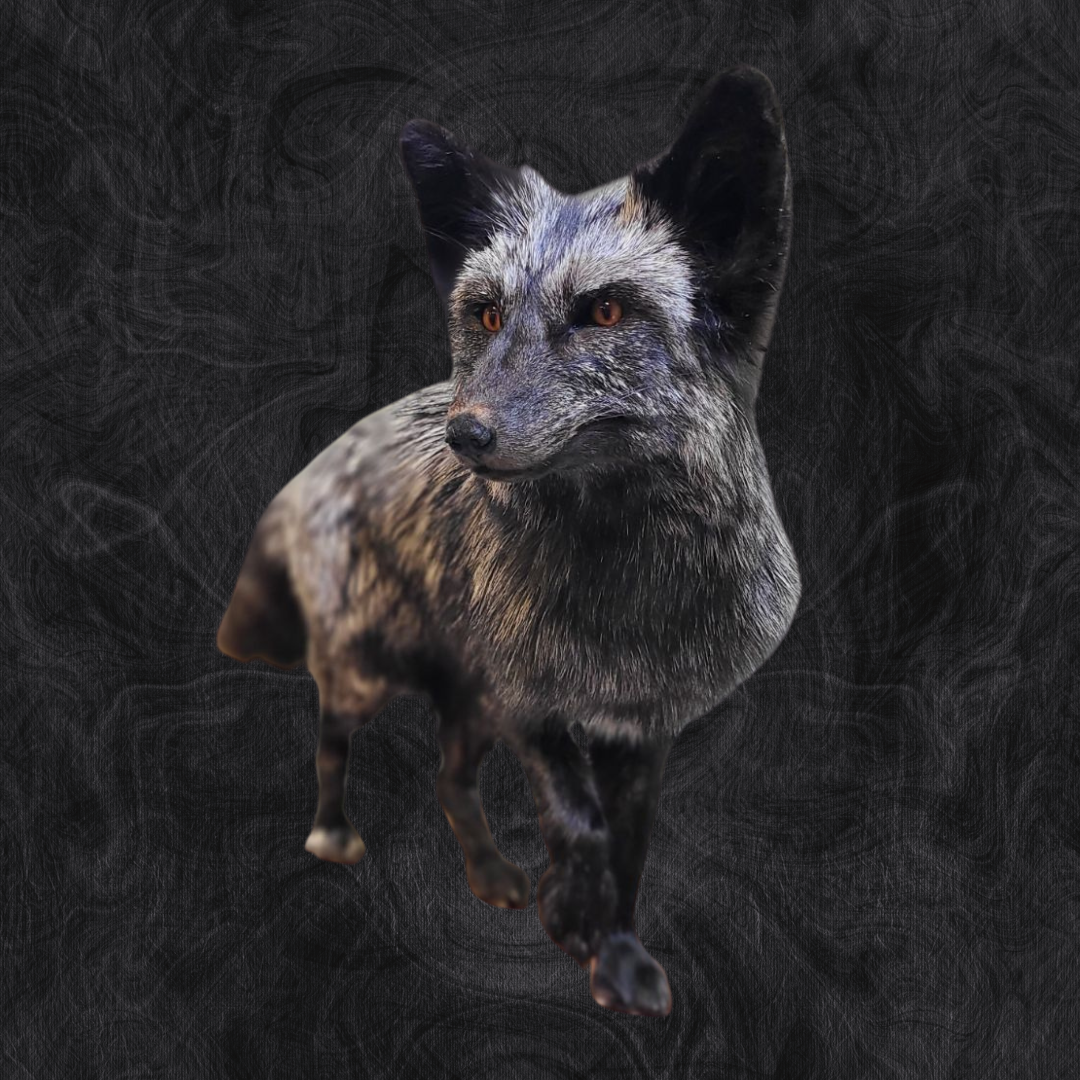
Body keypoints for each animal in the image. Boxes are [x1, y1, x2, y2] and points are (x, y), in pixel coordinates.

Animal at [216, 65, 801, 1017]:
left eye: (604, 311)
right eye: (486, 316)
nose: (465, 434)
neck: (624, 605)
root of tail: (315, 466)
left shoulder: (645, 724)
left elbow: (629, 845)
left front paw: (617, 951)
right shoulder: (534, 707)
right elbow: (579, 825)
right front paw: (582, 930)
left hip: (469, 699)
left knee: (449, 781)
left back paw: (492, 877)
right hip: (368, 674)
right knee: (332, 743)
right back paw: (335, 838)